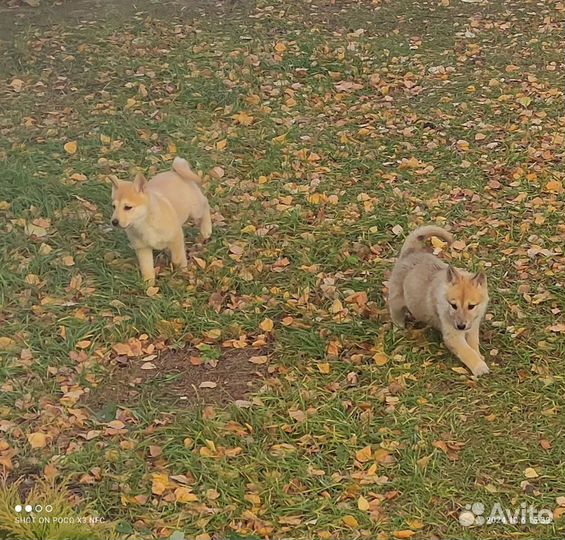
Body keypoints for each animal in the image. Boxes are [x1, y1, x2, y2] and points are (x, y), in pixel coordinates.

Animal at [109, 156, 212, 284]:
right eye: (114, 207)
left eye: (128, 207)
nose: (114, 222)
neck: (145, 223)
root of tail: (174, 171)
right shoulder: (142, 248)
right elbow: (147, 269)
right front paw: (149, 285)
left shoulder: (176, 236)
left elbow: (178, 258)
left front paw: (182, 271)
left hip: (195, 209)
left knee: (205, 204)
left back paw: (206, 229)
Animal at [388, 226, 490, 378]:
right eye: (453, 305)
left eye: (471, 306)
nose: (461, 326)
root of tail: (410, 252)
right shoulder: (453, 335)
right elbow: (467, 352)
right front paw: (479, 366)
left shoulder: (472, 327)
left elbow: (473, 344)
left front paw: (479, 356)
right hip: (397, 300)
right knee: (395, 313)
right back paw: (399, 328)